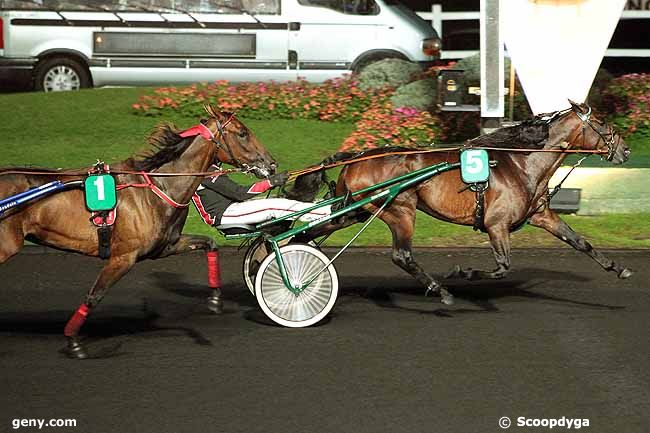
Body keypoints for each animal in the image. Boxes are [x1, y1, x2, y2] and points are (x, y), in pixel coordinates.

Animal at [0, 106, 274, 356]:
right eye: (242, 133)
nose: (271, 164)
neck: (157, 187)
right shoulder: (123, 257)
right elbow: (94, 295)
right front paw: (73, 341)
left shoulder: (165, 246)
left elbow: (210, 243)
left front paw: (215, 301)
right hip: (7, 246)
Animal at [286, 101, 632, 304]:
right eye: (603, 123)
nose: (625, 150)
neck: (521, 162)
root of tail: (357, 156)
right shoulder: (496, 224)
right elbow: (503, 267)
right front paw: (461, 272)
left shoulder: (542, 215)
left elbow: (580, 242)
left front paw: (618, 268)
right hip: (400, 209)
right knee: (402, 255)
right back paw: (441, 291)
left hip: (356, 211)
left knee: (309, 233)